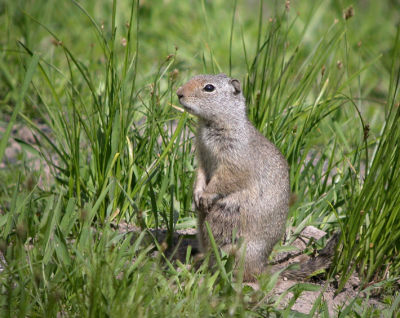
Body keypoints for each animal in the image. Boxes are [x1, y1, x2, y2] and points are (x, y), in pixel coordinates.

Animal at [178, 72, 290, 280]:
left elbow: (225, 178)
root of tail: (261, 266)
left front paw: (206, 196)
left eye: (209, 88)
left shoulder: (233, 159)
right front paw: (197, 194)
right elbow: (200, 173)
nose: (178, 93)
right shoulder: (202, 156)